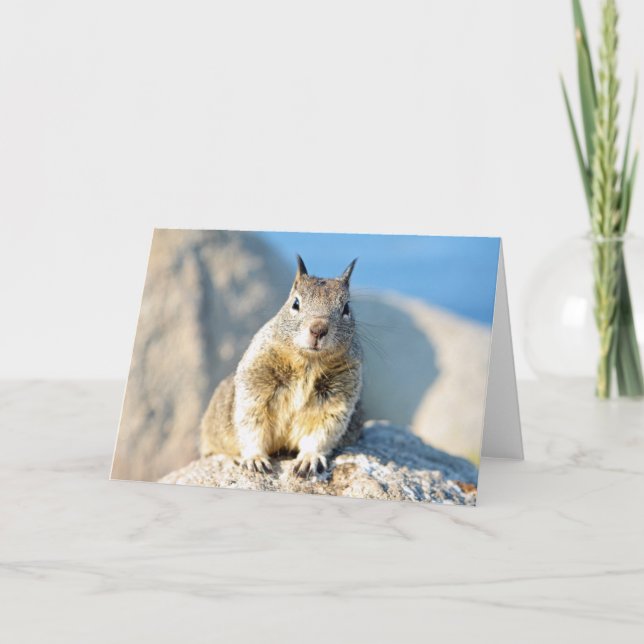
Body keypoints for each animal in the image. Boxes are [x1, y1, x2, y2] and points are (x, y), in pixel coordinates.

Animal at [199, 255, 363, 478]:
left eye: (346, 308)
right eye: (296, 303)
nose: (318, 329)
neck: (309, 363)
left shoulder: (337, 401)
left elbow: (321, 433)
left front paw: (309, 459)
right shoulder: (255, 386)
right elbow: (251, 425)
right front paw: (255, 459)